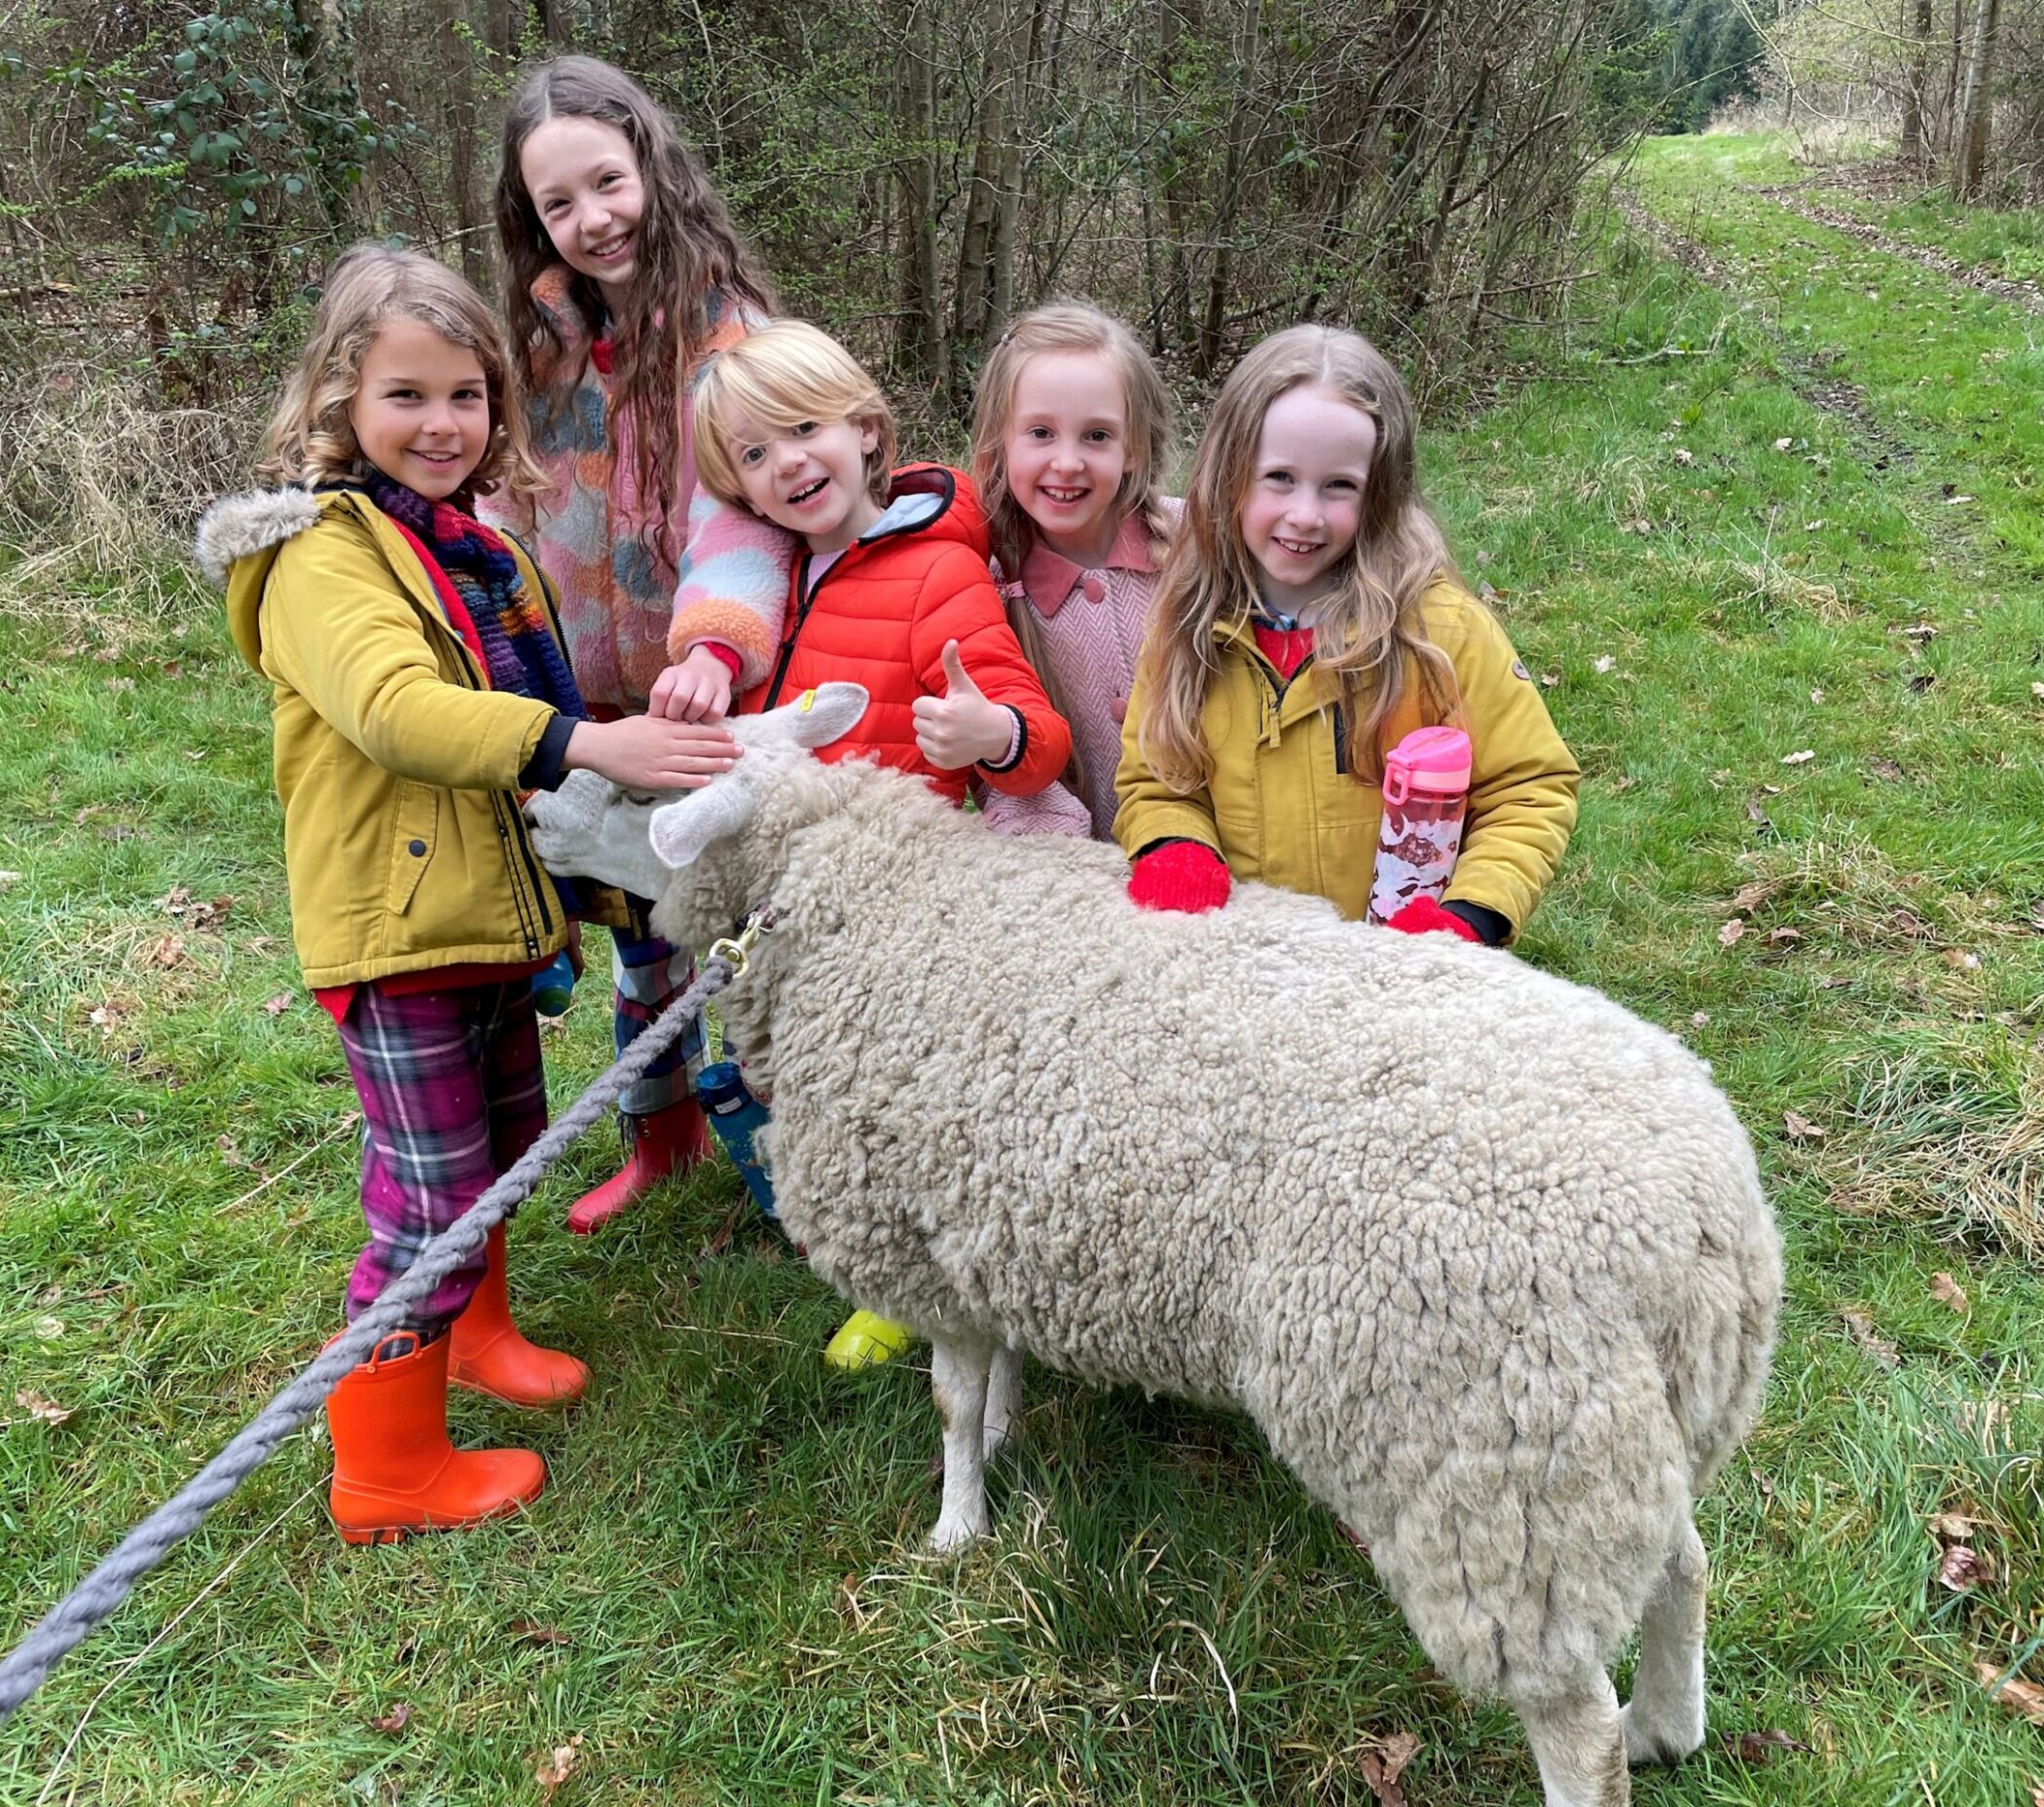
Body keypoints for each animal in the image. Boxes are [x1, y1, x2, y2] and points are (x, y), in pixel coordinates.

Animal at [525, 682, 1782, 1807]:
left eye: (633, 788)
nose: (532, 811)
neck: (843, 890)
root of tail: (1700, 1221)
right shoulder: (984, 1222)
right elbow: (989, 1376)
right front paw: (1006, 1440)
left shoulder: (920, 1238)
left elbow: (948, 1403)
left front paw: (955, 1533)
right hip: (1615, 1442)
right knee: (1683, 1568)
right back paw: (1671, 1724)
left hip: (1495, 1462)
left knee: (1574, 1721)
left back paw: (1615, 1739)